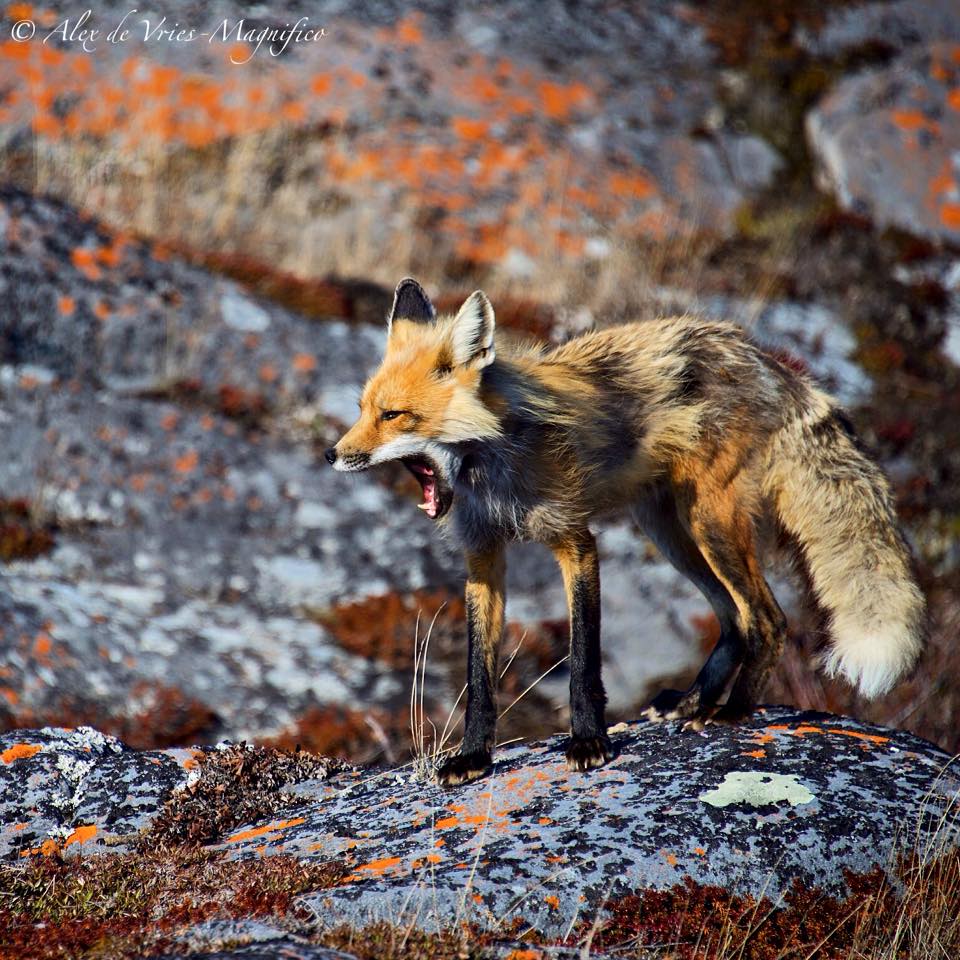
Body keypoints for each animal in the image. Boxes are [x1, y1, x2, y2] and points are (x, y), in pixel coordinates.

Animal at [326, 278, 927, 787]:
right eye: (361, 410)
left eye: (393, 415)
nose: (333, 455)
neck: (493, 472)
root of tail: (762, 355)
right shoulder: (483, 559)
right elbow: (479, 676)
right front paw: (474, 756)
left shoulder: (575, 541)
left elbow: (583, 659)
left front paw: (588, 742)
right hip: (669, 533)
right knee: (734, 618)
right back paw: (694, 701)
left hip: (709, 525)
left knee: (768, 620)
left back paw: (731, 714)